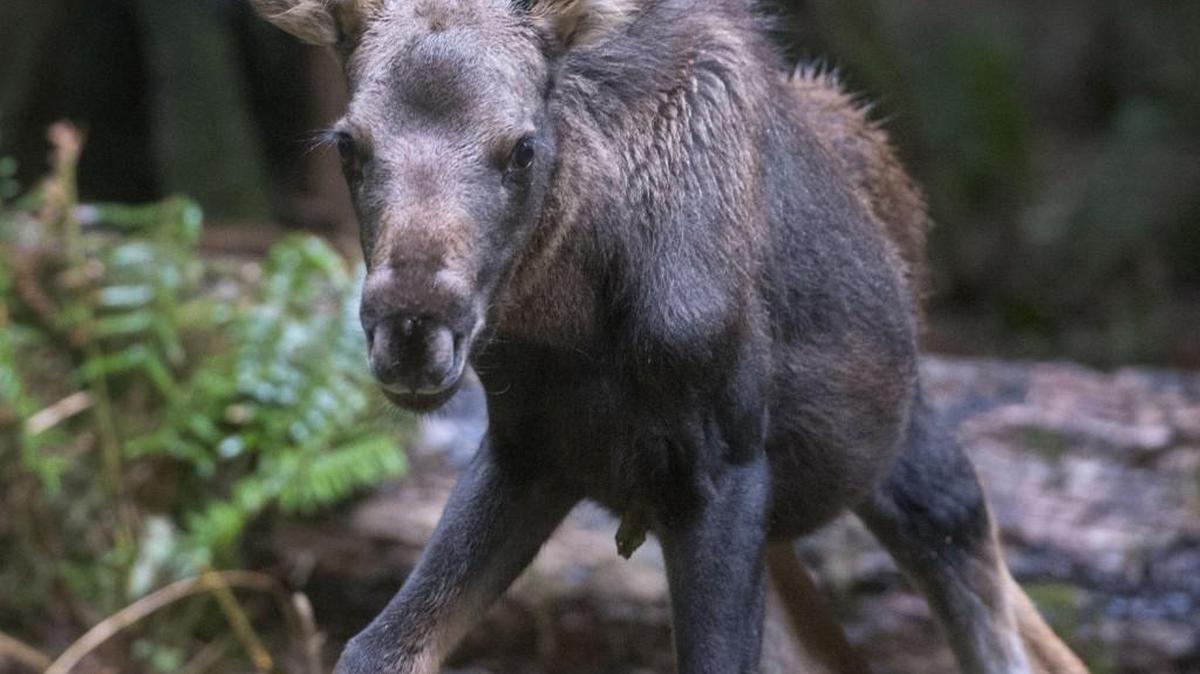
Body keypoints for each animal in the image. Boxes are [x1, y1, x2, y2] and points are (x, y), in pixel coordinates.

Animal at [249, 0, 1090, 672]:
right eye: (348, 142)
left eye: (523, 145)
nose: (413, 325)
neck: (571, 325)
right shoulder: (532, 451)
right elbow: (379, 648)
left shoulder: (725, 462)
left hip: (908, 452)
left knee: (981, 573)